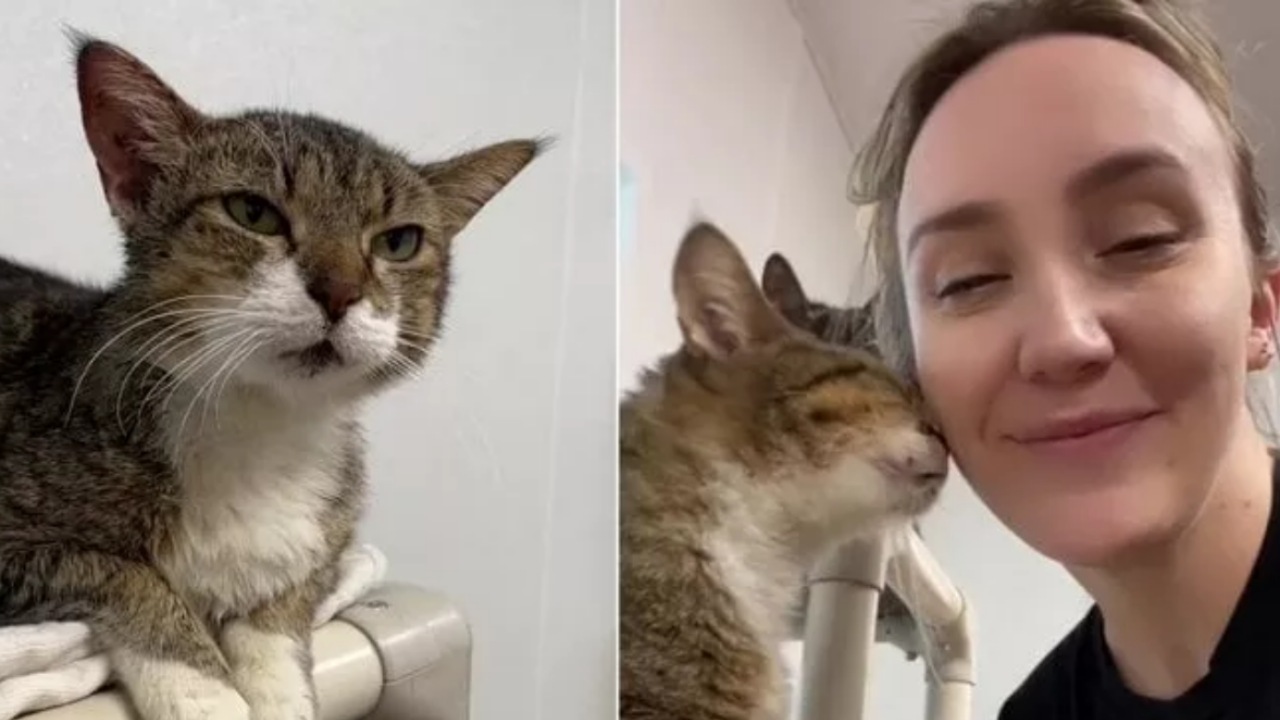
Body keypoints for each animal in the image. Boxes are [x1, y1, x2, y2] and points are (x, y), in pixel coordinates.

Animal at [0, 35, 545, 717]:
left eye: (399, 243)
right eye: (252, 211)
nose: (339, 290)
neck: (261, 423)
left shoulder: (325, 544)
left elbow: (281, 612)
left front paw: (278, 690)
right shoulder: (15, 540)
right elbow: (124, 573)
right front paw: (203, 692)